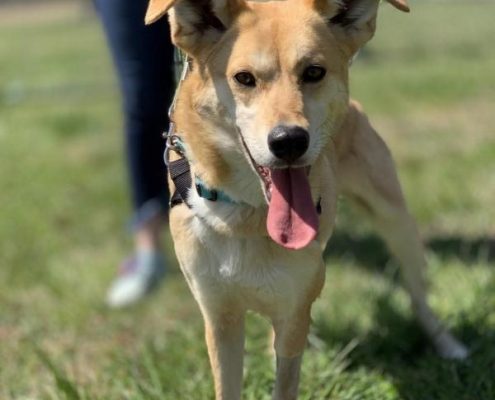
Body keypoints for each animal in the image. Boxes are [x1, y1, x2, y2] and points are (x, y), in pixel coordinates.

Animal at [144, 1, 468, 398]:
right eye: (244, 78)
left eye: (313, 72)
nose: (289, 141)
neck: (249, 215)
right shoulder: (221, 318)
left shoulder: (291, 312)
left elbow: (286, 378)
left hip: (397, 221)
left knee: (418, 294)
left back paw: (448, 344)